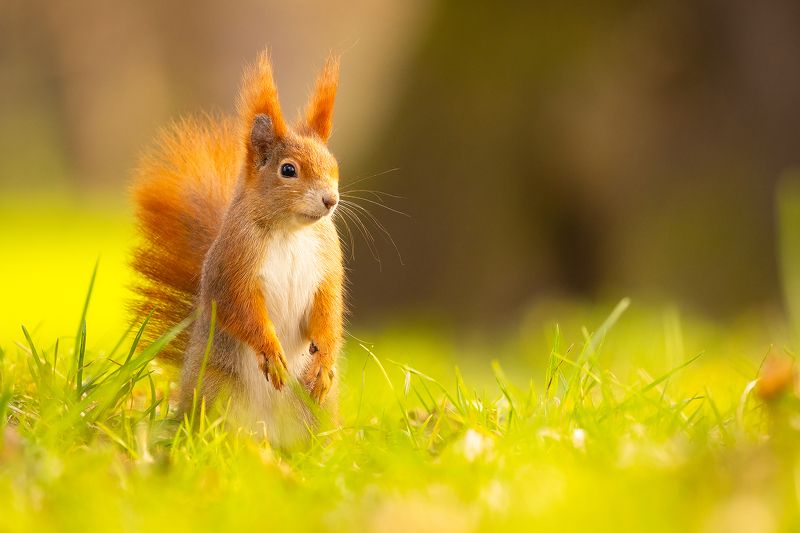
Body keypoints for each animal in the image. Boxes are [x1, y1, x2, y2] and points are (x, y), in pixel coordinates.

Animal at [130, 50, 345, 448]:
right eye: (288, 170)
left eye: (334, 166)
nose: (330, 200)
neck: (290, 230)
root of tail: (268, 434)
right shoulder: (232, 264)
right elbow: (241, 309)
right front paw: (271, 351)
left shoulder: (327, 265)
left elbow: (327, 313)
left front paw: (324, 362)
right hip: (216, 389)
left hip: (312, 406)